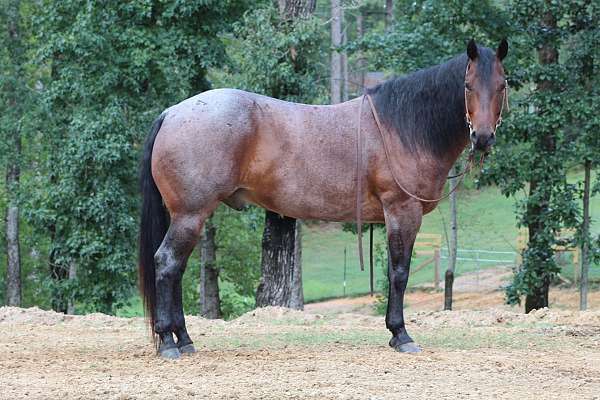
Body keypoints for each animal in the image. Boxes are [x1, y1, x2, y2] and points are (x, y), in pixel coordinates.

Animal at [138, 39, 508, 360]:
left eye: (502, 85)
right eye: (467, 85)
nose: (483, 137)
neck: (404, 129)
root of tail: (172, 113)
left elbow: (393, 271)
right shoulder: (402, 211)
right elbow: (400, 272)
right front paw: (401, 335)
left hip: (191, 217)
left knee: (176, 269)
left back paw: (184, 339)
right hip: (190, 215)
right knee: (167, 264)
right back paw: (169, 342)